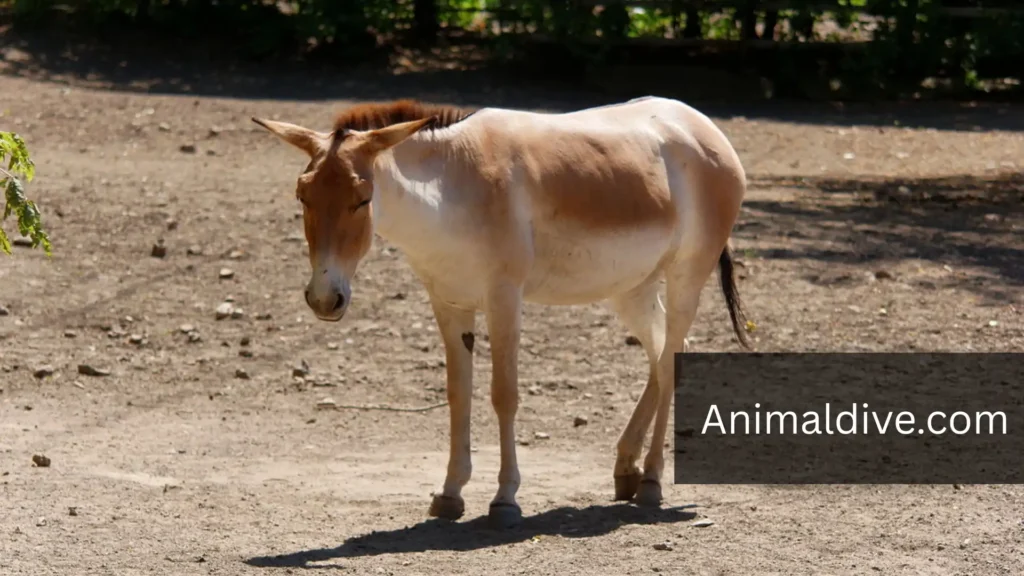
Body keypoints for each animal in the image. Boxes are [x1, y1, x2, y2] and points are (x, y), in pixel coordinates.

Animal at [252, 96, 751, 528]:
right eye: (302, 195)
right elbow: (458, 394)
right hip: (632, 288)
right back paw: (627, 469)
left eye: (362, 198)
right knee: (664, 354)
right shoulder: (448, 302)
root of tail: (701, 125)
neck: (453, 188)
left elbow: (503, 395)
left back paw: (650, 481)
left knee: (669, 360)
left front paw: (505, 499)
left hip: (687, 276)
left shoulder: (504, 298)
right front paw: (449, 493)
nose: (324, 298)